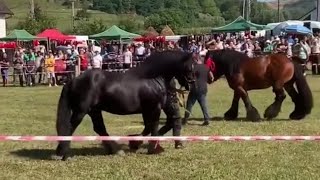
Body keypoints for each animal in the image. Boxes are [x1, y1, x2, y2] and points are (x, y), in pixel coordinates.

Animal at [56, 50, 194, 160]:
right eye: (190, 66)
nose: (192, 83)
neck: (152, 79)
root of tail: (73, 80)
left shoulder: (147, 110)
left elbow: (148, 128)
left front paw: (135, 142)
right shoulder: (155, 108)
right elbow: (153, 127)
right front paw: (152, 149)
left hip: (94, 110)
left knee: (99, 128)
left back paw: (116, 150)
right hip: (81, 111)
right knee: (70, 127)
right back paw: (63, 154)